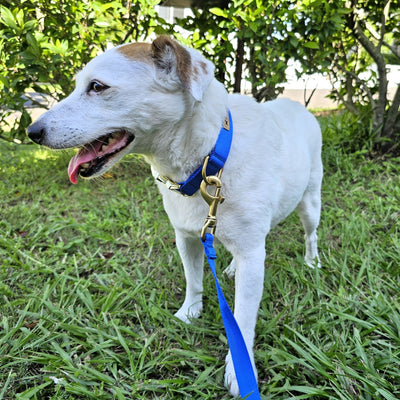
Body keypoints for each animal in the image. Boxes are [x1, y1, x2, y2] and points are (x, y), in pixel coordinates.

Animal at [27, 35, 322, 396]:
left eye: (97, 86)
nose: (32, 131)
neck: (208, 162)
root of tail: (299, 107)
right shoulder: (187, 236)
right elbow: (193, 280)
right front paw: (189, 313)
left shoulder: (253, 254)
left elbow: (242, 318)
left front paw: (239, 369)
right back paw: (230, 268)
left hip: (310, 202)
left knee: (310, 233)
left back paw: (311, 261)